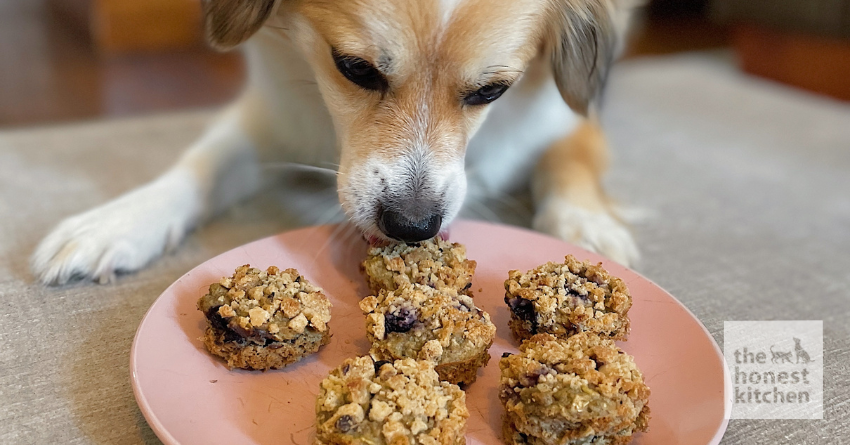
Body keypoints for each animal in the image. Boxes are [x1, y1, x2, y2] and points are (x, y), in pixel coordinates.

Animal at [29, 0, 640, 284]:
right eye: (355, 68)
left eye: (491, 91)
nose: (413, 226)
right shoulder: (269, 121)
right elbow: (198, 168)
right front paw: (118, 221)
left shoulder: (565, 119)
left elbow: (569, 161)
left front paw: (587, 224)